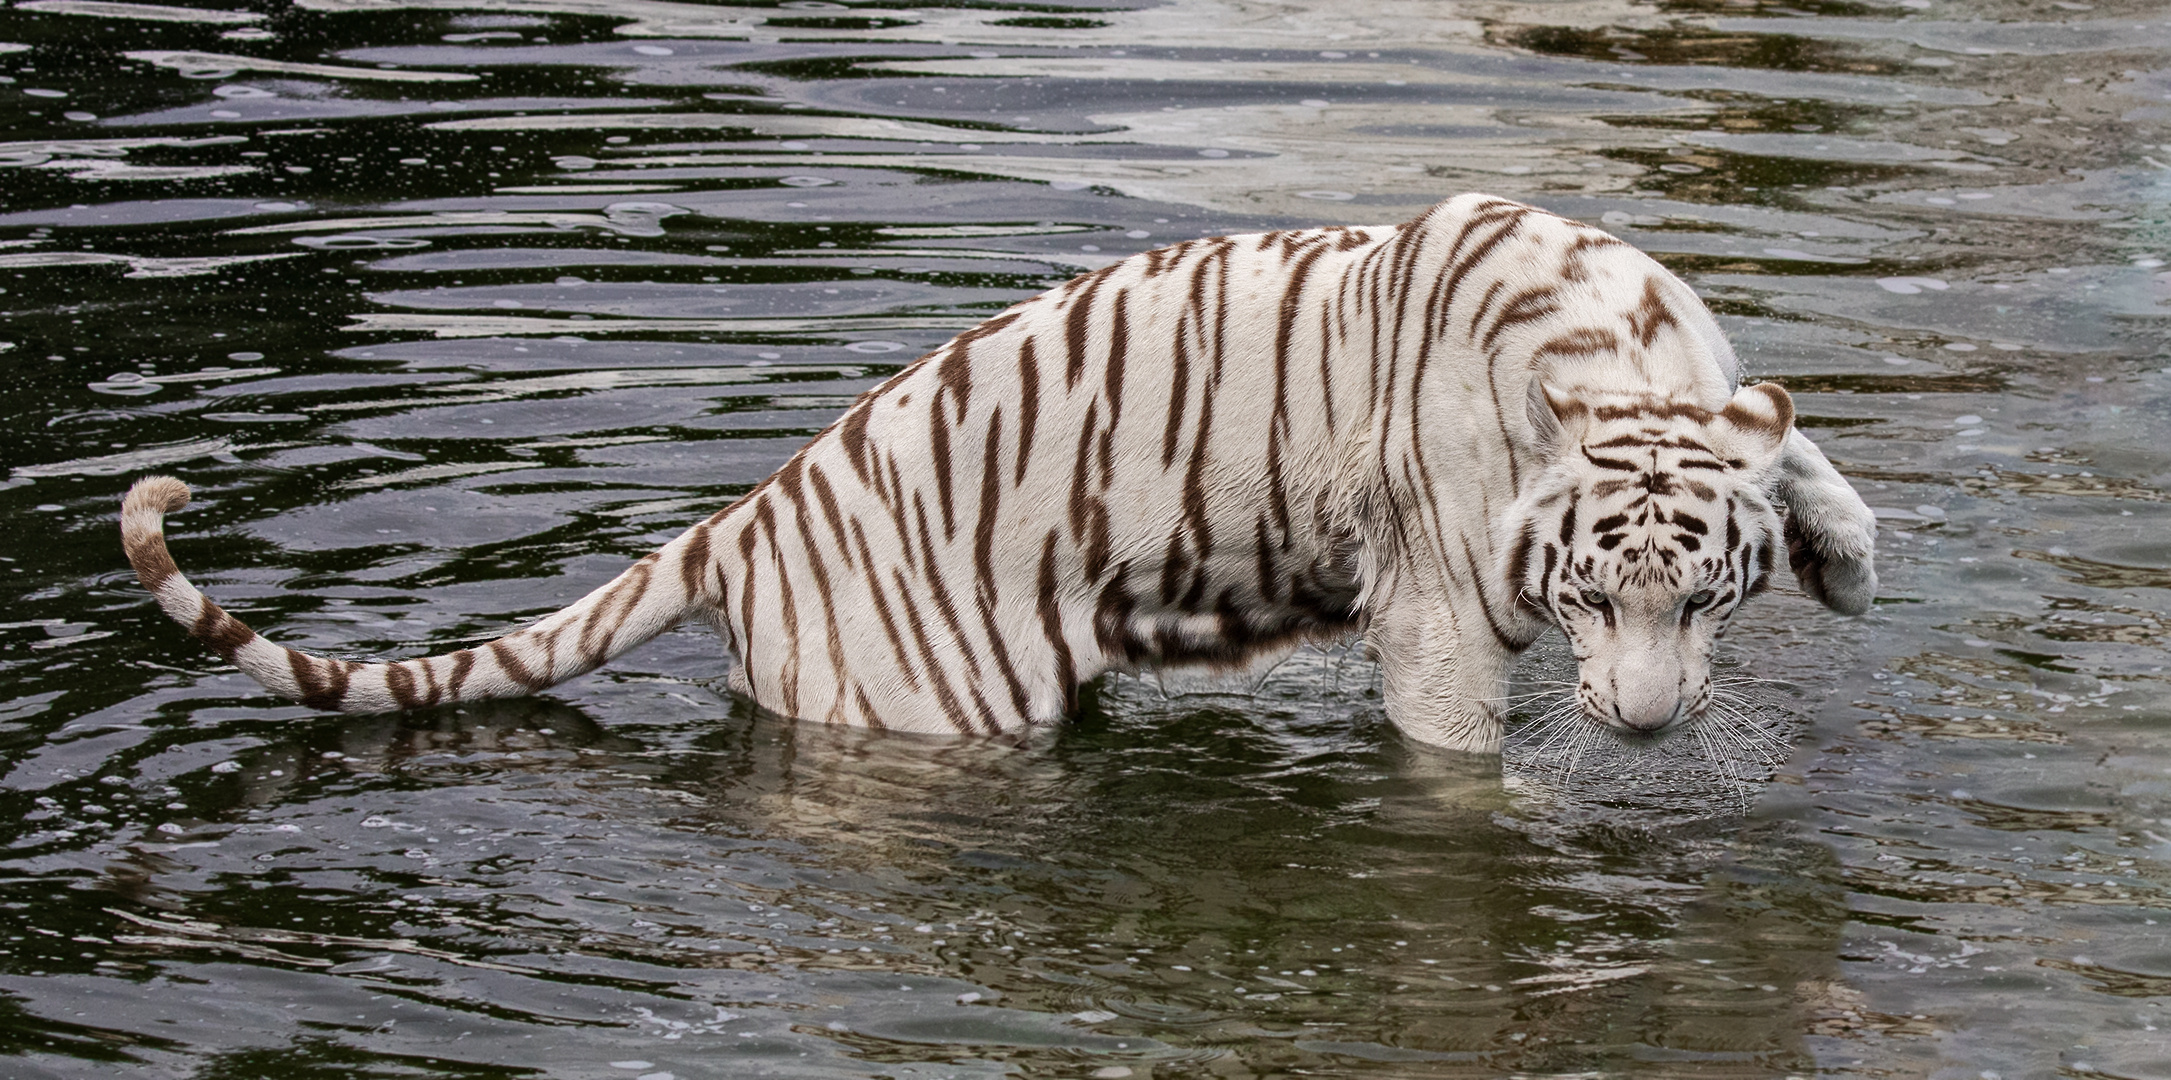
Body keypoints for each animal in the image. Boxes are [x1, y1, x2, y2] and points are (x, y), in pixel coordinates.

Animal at [123, 193, 1884, 747]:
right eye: (1587, 598)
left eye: (1700, 600)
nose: (1642, 731)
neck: (1621, 353)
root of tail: (738, 521)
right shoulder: (1439, 617)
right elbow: (1456, 768)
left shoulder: (1720, 385)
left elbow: (1797, 443)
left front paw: (1849, 559)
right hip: (944, 705)